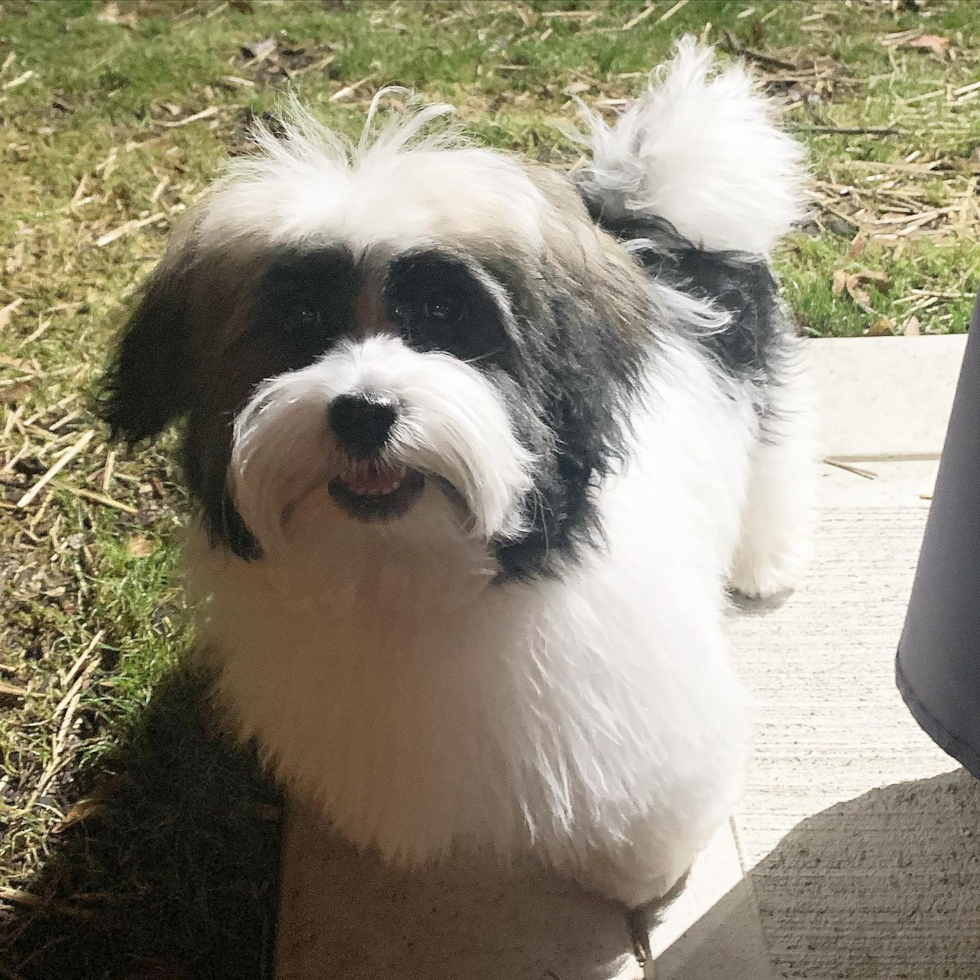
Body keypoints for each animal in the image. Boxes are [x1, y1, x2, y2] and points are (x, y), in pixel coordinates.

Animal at [103, 38, 816, 912]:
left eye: (443, 318)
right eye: (301, 322)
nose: (363, 411)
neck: (402, 565)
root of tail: (657, 217)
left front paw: (643, 878)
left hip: (763, 389)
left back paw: (764, 563)